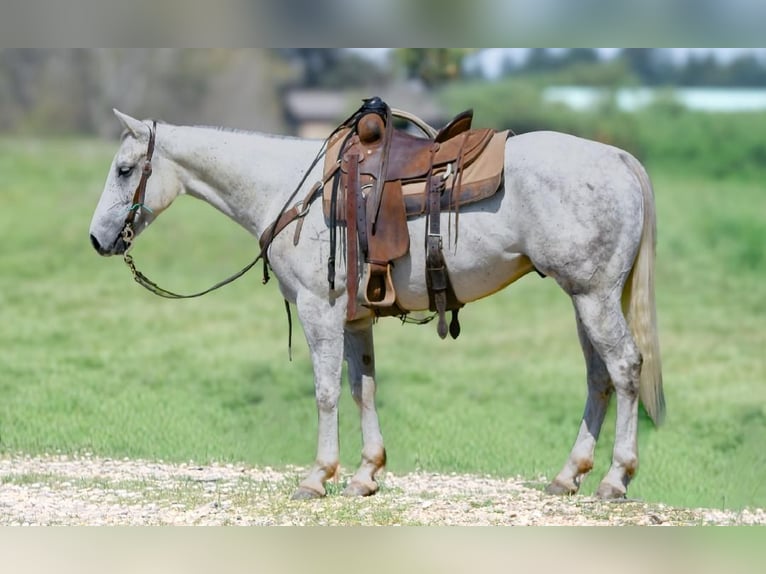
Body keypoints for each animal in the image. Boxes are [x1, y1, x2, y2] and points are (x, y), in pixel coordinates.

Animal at [89, 108, 664, 500]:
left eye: (124, 169)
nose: (97, 240)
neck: (292, 191)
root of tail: (617, 158)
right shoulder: (354, 319)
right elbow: (361, 388)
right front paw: (366, 473)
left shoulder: (319, 310)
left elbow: (325, 392)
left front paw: (317, 476)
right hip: (584, 300)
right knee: (598, 376)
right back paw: (569, 475)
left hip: (593, 297)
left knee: (624, 367)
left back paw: (615, 479)